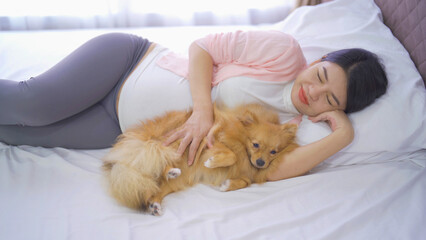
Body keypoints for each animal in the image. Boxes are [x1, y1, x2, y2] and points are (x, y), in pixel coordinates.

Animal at [102, 104, 298, 216]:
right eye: (255, 144)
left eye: (273, 152)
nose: (261, 163)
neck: (243, 144)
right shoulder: (213, 141)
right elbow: (231, 155)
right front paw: (212, 162)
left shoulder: (247, 172)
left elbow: (244, 181)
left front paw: (227, 184)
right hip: (174, 142)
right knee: (159, 156)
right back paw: (169, 170)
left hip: (176, 180)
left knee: (157, 188)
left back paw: (156, 202)